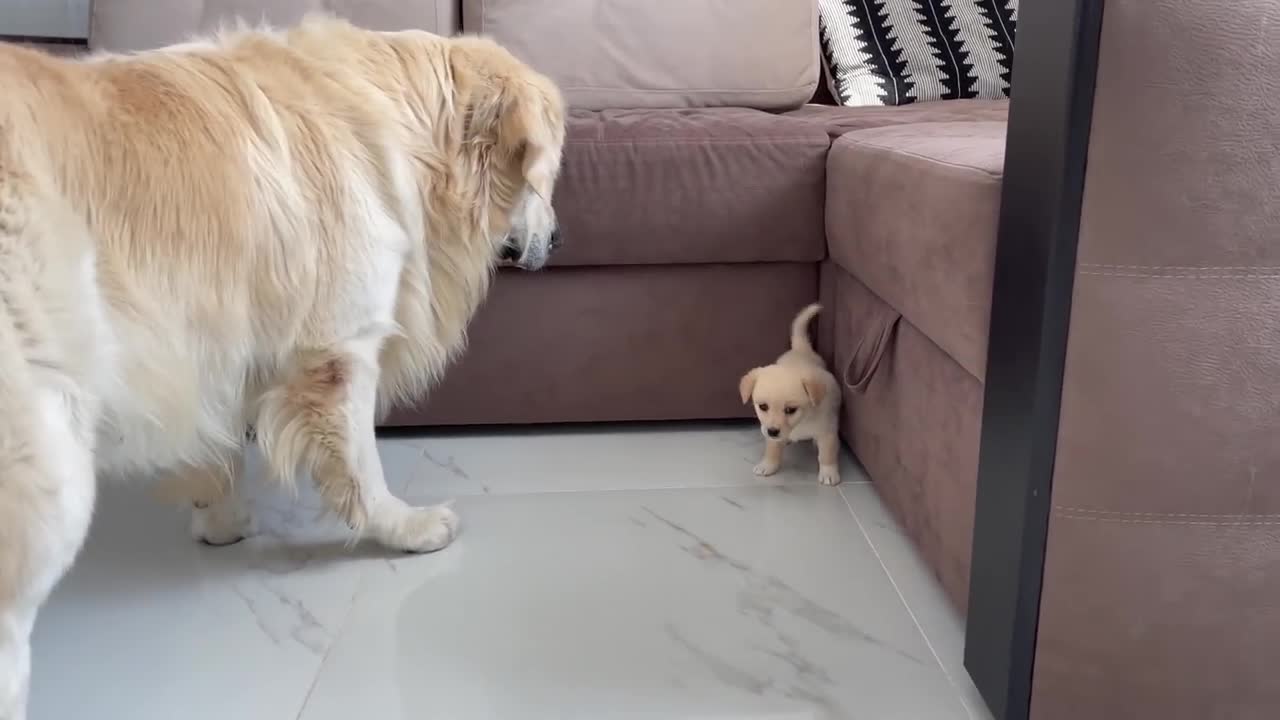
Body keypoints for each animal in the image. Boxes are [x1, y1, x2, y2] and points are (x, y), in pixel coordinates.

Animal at [742, 299, 839, 484]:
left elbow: (827, 454)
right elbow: (772, 449)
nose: (772, 431)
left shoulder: (827, 432)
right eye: (763, 407)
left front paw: (829, 473)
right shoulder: (770, 435)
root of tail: (801, 349)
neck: (800, 422)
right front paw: (768, 465)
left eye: (790, 410)